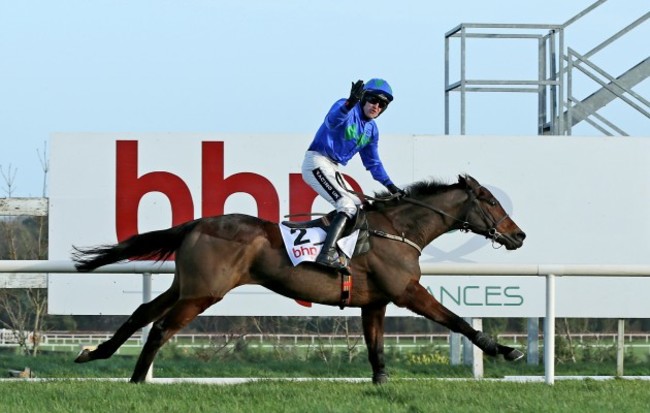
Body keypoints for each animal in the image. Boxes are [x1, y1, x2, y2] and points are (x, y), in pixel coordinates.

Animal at [72, 174, 528, 384]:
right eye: (489, 200)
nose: (519, 235)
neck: (397, 230)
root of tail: (198, 223)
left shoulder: (374, 303)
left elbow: (377, 349)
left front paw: (381, 383)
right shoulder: (407, 292)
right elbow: (458, 320)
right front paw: (505, 350)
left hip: (186, 286)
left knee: (143, 313)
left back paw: (95, 354)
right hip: (204, 293)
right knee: (161, 327)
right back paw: (136, 381)